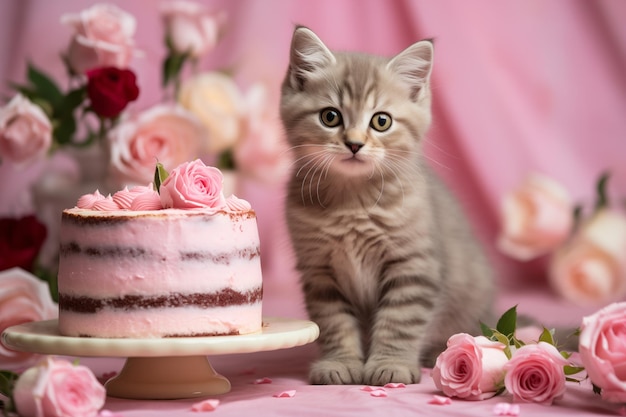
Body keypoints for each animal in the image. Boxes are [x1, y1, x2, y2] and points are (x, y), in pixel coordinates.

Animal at [280, 25, 492, 384]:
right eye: (330, 117)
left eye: (381, 121)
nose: (354, 144)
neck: (352, 202)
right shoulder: (319, 271)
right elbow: (334, 322)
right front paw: (339, 362)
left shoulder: (414, 265)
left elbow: (400, 321)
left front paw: (391, 364)